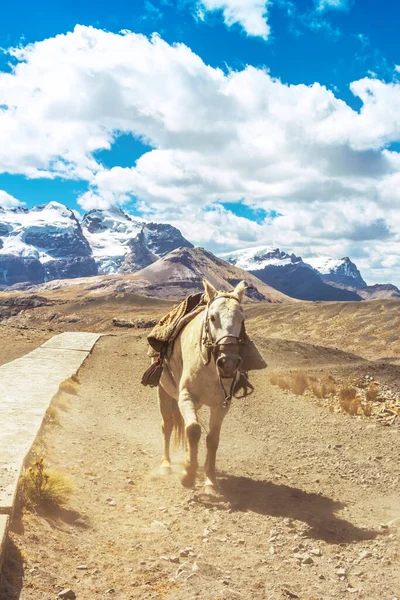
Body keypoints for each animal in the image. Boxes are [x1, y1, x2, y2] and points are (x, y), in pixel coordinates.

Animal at [156, 278, 247, 490]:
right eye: (212, 317)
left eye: (242, 319)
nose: (228, 362)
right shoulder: (186, 396)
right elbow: (193, 430)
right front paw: (188, 474)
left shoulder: (222, 404)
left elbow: (212, 438)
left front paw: (210, 480)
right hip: (164, 394)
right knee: (168, 426)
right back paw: (166, 464)